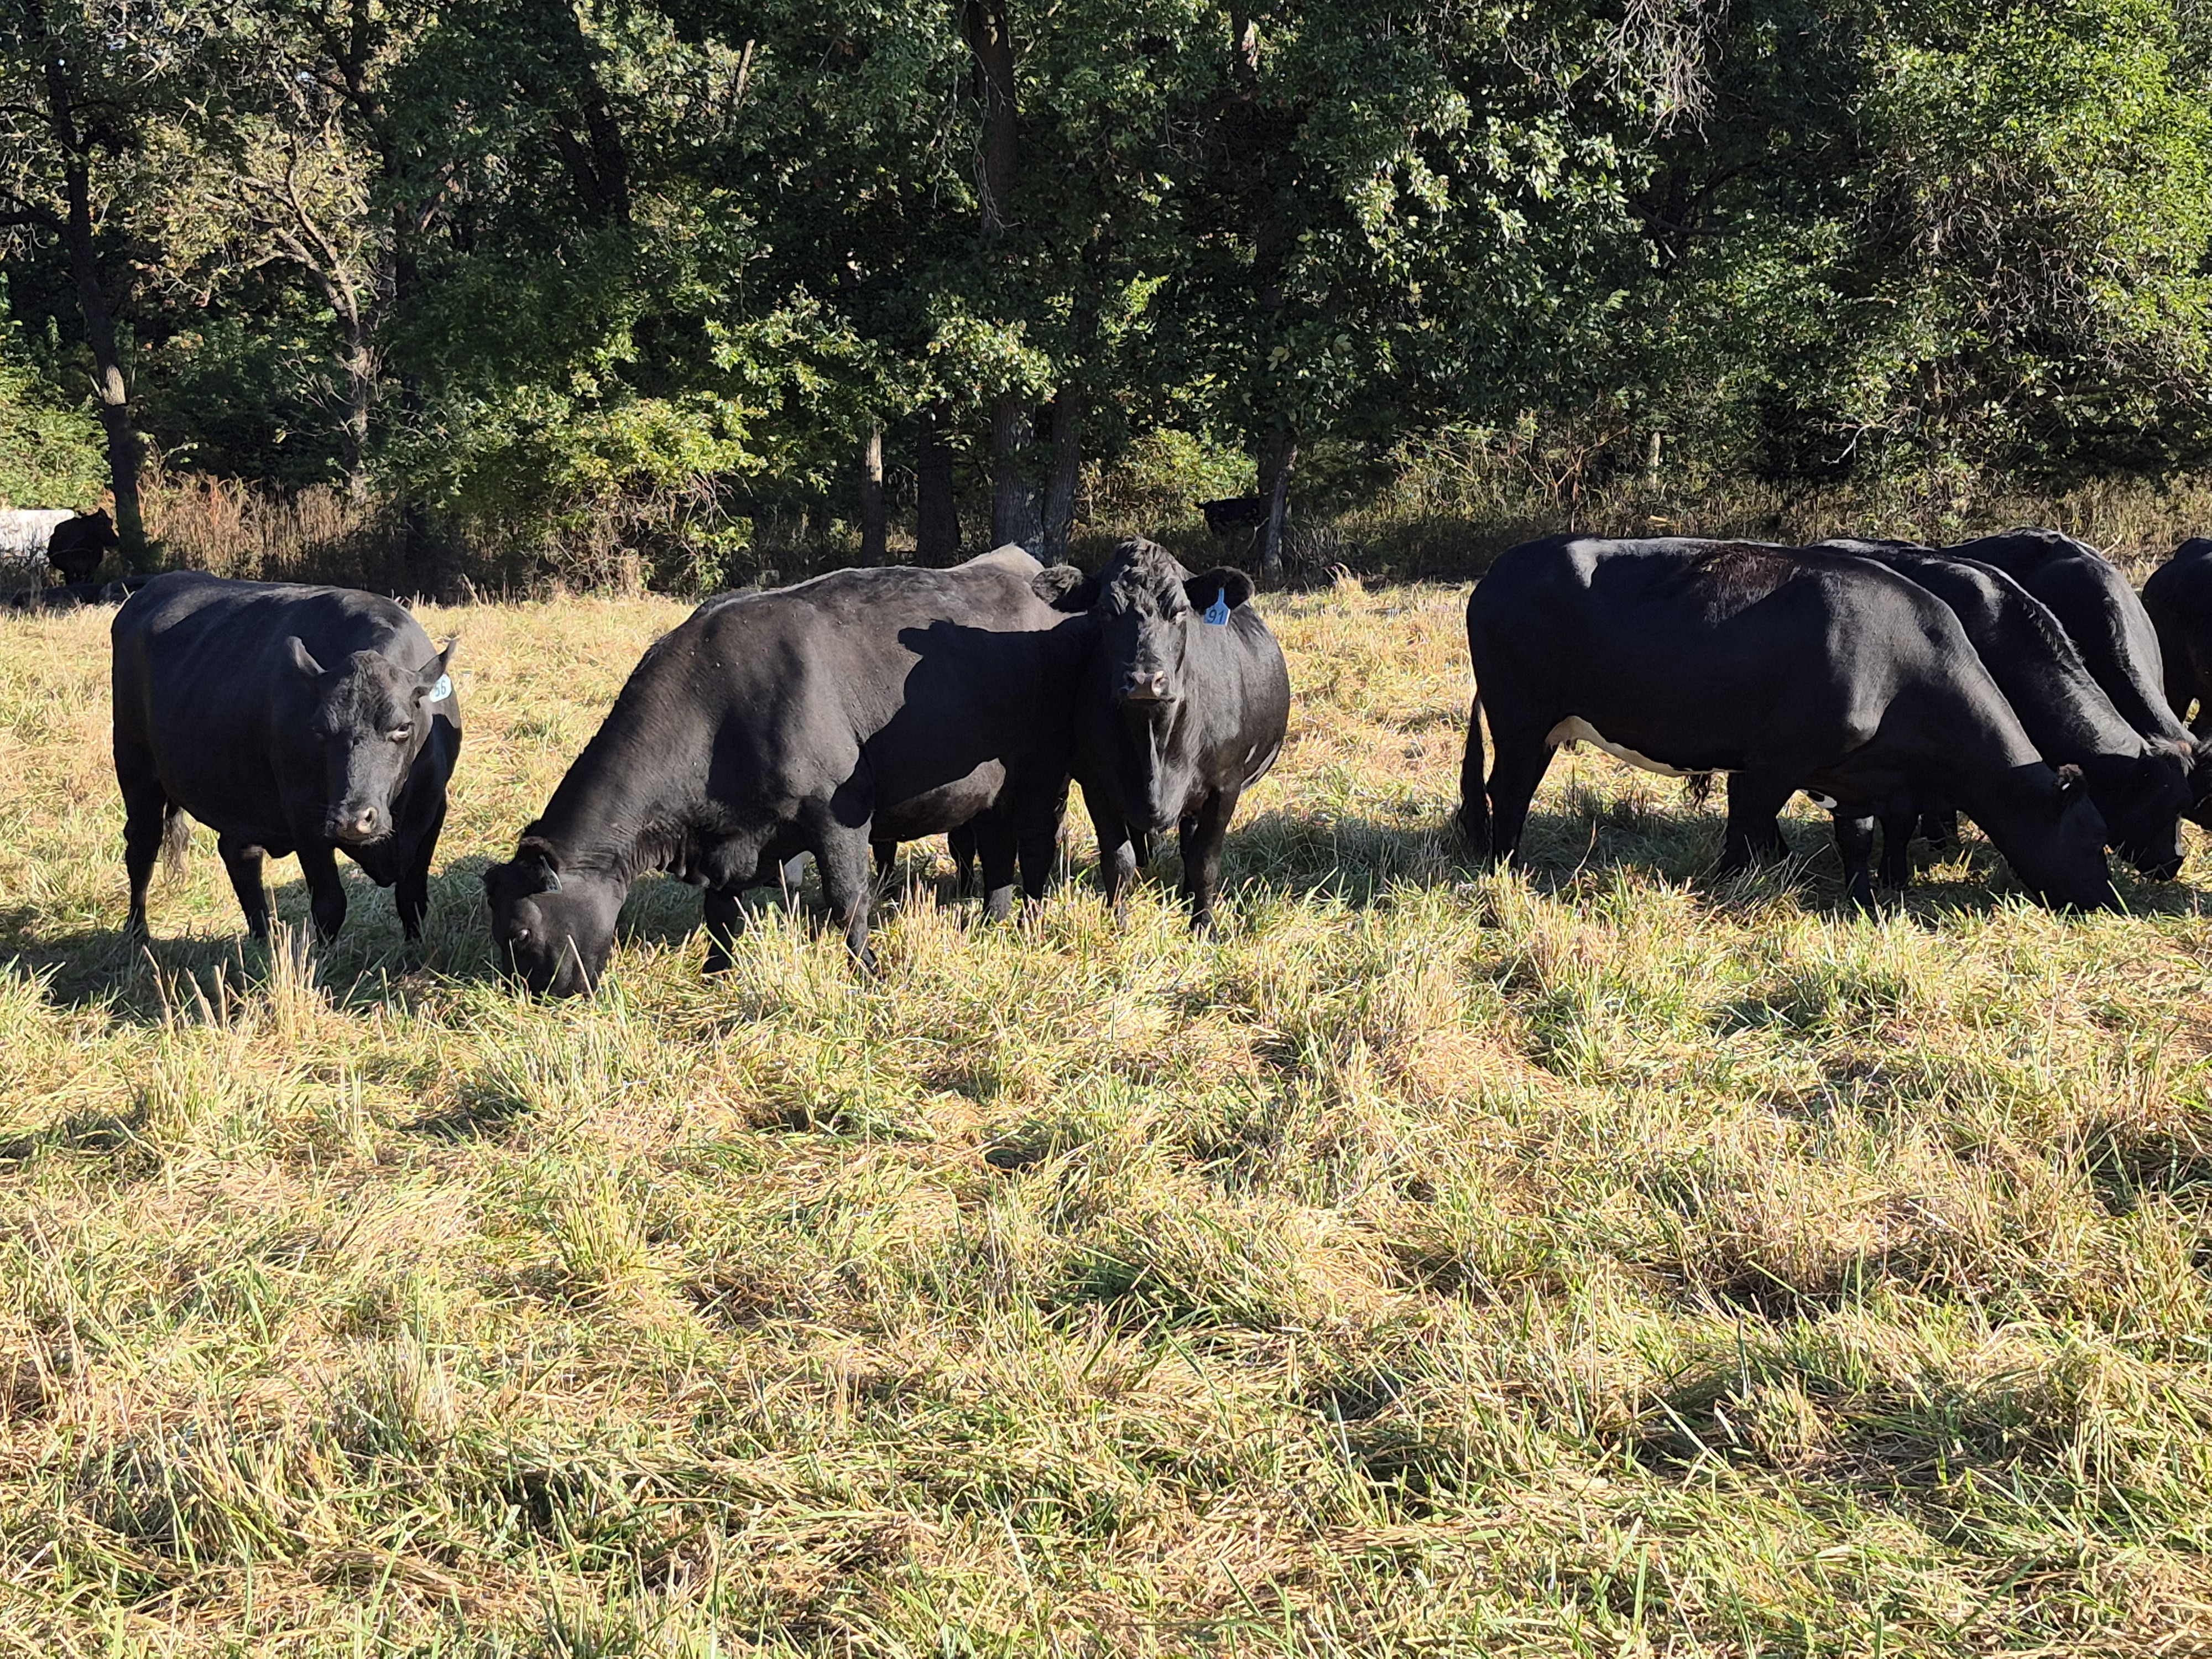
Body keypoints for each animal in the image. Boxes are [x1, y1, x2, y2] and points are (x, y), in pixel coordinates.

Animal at [112, 572, 460, 943]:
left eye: (403, 727)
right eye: (320, 728)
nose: (352, 819)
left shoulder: (432, 809)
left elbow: (412, 897)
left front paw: (416, 951)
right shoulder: (304, 812)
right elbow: (329, 904)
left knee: (239, 854)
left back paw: (262, 937)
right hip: (135, 767)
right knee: (142, 847)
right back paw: (137, 934)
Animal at [482, 546, 1086, 996]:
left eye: (518, 932)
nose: (528, 997)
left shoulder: (838, 811)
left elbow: (848, 902)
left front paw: (867, 975)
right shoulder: (727, 838)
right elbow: (721, 913)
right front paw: (716, 975)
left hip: (1043, 777)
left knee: (1034, 849)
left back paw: (1027, 924)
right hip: (992, 791)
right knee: (996, 849)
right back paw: (992, 922)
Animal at [1031, 538, 1291, 929]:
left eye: (1180, 610)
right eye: (1106, 611)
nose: (1144, 680)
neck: (1154, 739)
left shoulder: (1225, 787)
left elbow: (1204, 862)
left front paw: (1204, 926)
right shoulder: (1097, 784)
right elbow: (1118, 861)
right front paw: (1118, 925)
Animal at [1458, 536, 2116, 911]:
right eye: (2093, 840)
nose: (2108, 902)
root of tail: (1501, 569)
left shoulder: (1857, 776)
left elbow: (1859, 836)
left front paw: (1865, 899)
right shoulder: (1771, 763)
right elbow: (1745, 831)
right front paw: (1730, 886)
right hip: (1520, 721)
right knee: (1507, 793)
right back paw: (1506, 868)